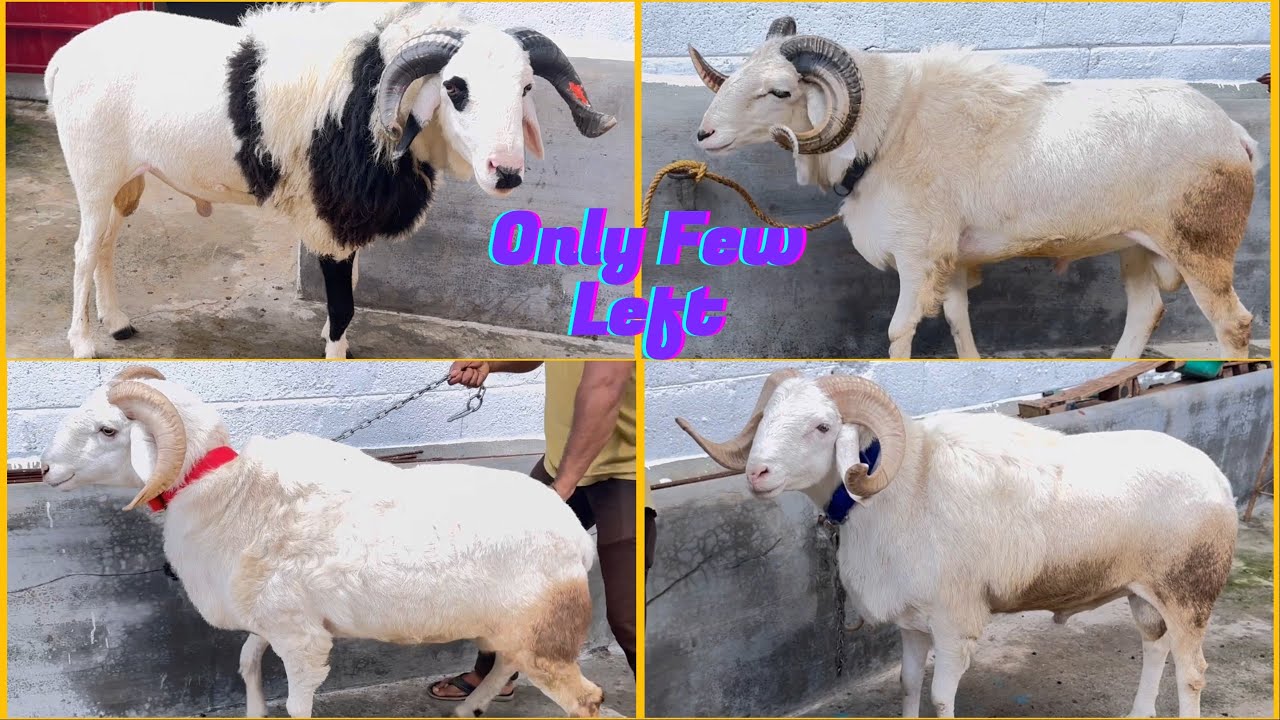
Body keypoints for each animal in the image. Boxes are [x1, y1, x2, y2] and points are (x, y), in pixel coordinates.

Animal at [39, 365, 604, 718]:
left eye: (109, 430)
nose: (45, 470)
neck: (231, 495)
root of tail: (578, 536)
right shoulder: (274, 619)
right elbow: (247, 664)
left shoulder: (302, 637)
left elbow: (296, 702)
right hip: (516, 626)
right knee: (507, 661)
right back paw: (470, 706)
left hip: (545, 632)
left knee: (586, 699)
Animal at [45, 2, 617, 359]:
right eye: (456, 88)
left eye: (526, 88)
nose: (507, 172)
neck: (373, 87)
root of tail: (64, 58)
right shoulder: (331, 211)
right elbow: (343, 296)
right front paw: (337, 349)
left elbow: (349, 286)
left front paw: (334, 336)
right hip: (93, 173)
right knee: (82, 252)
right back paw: (83, 342)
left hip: (123, 179)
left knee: (105, 247)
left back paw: (118, 323)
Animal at [676, 369, 1239, 718]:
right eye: (765, 418)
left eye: (823, 426)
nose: (757, 474)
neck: (902, 492)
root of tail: (1217, 478)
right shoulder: (911, 623)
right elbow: (908, 686)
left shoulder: (955, 623)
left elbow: (941, 698)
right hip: (1146, 593)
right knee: (1155, 648)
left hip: (1189, 592)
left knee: (1192, 674)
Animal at [688, 17, 1261, 359]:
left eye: (779, 90)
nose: (705, 134)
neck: (888, 130)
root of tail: (1234, 134)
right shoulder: (953, 262)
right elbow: (959, 321)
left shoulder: (919, 260)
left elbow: (898, 332)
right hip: (1135, 247)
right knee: (1146, 313)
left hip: (1200, 250)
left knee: (1232, 324)